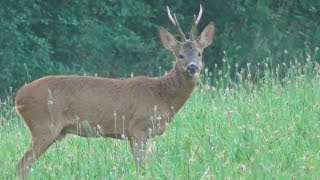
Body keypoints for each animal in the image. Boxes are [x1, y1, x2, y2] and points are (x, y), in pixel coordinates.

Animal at [15, 4, 215, 179]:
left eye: (200, 53)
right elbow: (141, 167)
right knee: (21, 165)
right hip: (44, 126)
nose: (192, 68)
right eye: (180, 55)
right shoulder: (138, 128)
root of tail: (18, 97)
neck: (163, 95)